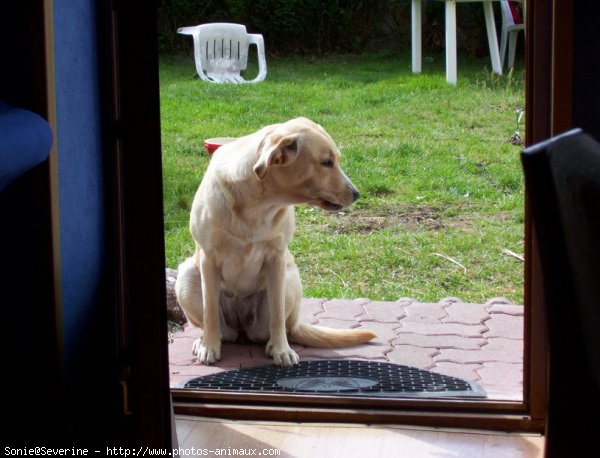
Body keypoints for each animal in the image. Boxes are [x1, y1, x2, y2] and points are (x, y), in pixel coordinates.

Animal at [173, 116, 376, 366]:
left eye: (335, 160)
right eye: (326, 162)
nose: (357, 193)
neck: (258, 204)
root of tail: (242, 329)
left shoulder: (277, 259)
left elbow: (277, 315)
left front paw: (282, 350)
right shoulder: (209, 258)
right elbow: (210, 311)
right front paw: (209, 347)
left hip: (290, 279)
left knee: (282, 326)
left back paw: (272, 345)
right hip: (186, 275)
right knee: (220, 329)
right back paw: (204, 340)